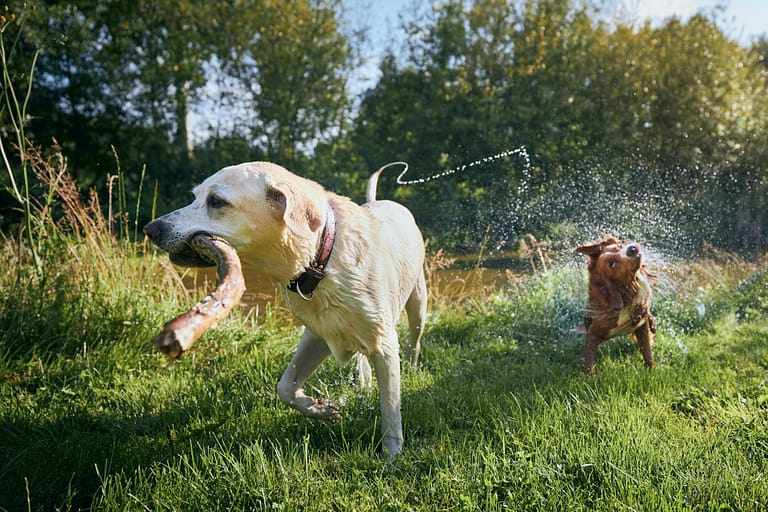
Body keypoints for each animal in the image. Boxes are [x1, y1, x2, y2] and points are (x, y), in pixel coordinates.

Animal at [143, 161, 426, 456]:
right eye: (194, 196)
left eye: (216, 201)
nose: (150, 228)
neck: (321, 258)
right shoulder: (318, 334)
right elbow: (285, 388)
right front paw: (320, 408)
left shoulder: (383, 343)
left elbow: (391, 409)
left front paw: (391, 455)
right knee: (362, 363)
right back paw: (364, 385)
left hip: (418, 302)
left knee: (414, 341)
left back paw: (412, 367)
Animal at [576, 235, 656, 372]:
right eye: (612, 264)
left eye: (619, 246)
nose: (632, 249)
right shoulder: (594, 333)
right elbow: (589, 360)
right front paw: (588, 375)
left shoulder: (641, 323)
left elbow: (646, 351)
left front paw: (651, 369)